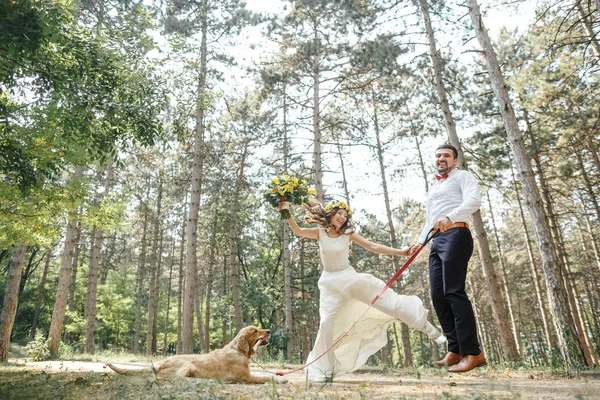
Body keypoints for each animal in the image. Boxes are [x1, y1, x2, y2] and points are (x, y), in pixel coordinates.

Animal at [106, 324, 286, 384]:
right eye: (255, 331)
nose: (269, 331)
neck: (238, 350)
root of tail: (159, 364)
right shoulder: (246, 377)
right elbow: (266, 377)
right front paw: (280, 379)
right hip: (187, 365)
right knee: (176, 377)